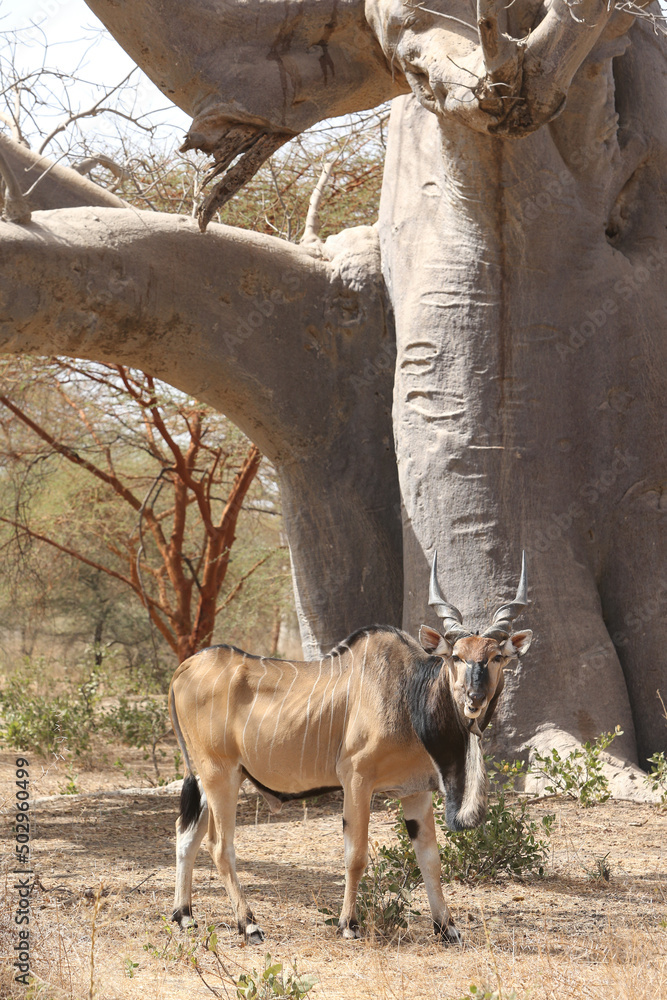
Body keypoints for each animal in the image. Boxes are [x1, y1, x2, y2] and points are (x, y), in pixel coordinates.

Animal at [169, 554, 532, 943]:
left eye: (496, 657)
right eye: (457, 657)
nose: (474, 698)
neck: (410, 694)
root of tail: (183, 669)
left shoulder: (415, 791)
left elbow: (430, 860)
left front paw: (447, 927)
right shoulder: (357, 779)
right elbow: (355, 855)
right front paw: (348, 924)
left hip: (211, 778)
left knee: (186, 836)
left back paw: (184, 915)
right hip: (220, 776)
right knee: (219, 846)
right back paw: (249, 923)